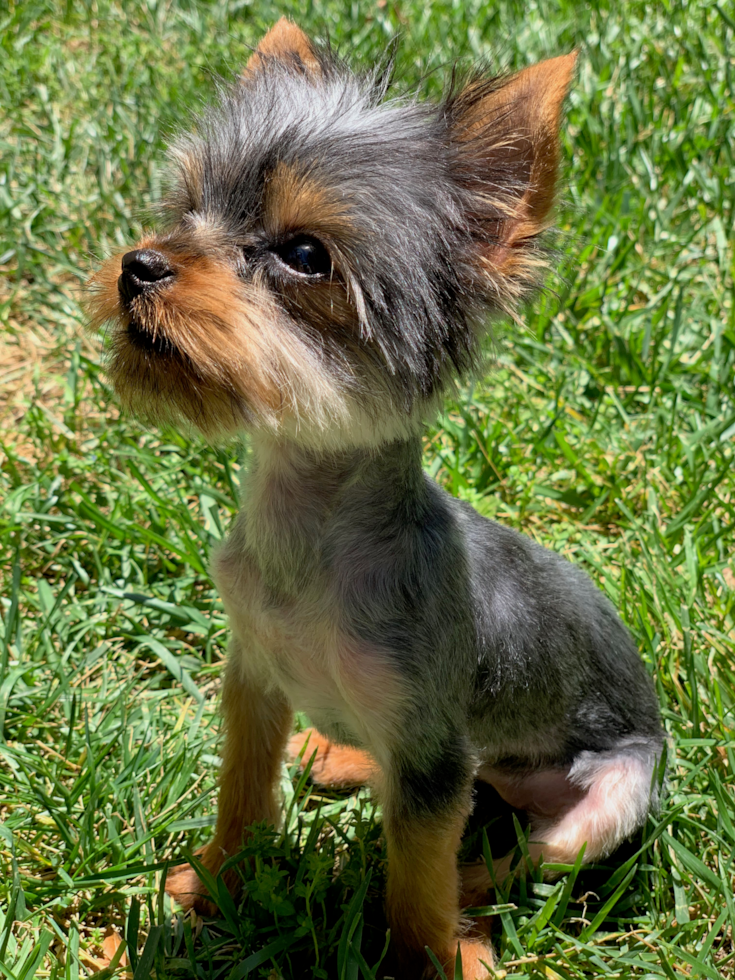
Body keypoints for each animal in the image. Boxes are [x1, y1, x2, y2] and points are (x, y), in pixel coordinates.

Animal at [89, 19, 664, 976]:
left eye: (304, 255)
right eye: (188, 209)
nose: (141, 264)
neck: (310, 540)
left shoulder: (432, 761)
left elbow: (414, 882)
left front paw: (428, 958)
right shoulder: (253, 682)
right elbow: (241, 794)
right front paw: (217, 885)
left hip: (609, 797)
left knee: (513, 852)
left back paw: (472, 917)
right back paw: (340, 755)